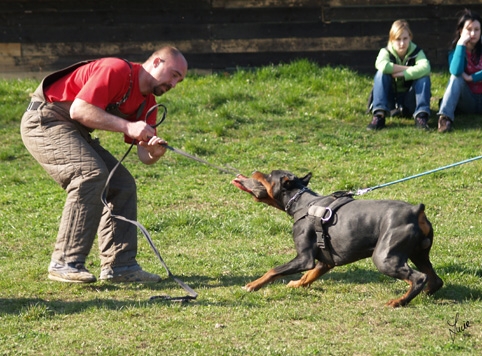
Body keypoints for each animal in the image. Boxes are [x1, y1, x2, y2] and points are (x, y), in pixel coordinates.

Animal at [232, 170, 442, 306]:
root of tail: (416, 211)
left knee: (419, 277)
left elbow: (274, 270)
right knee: (434, 279)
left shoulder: (304, 258)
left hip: (384, 258)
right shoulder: (326, 260)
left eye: (268, 176)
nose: (255, 170)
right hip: (419, 254)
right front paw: (296, 284)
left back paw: (399, 301)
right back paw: (424, 293)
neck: (303, 204)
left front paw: (253, 285)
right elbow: (308, 276)